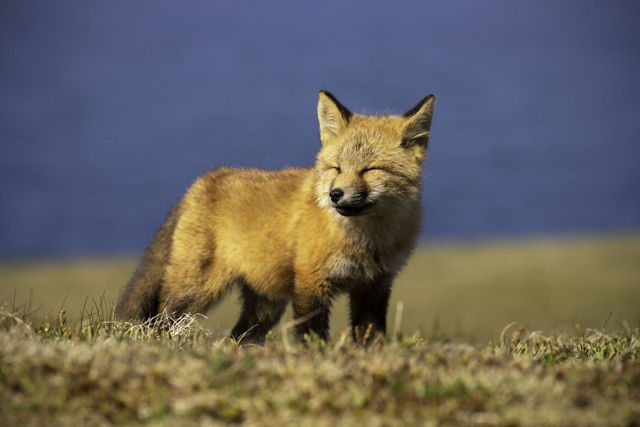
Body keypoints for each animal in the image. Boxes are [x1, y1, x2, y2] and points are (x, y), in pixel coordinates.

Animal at [115, 91, 435, 344]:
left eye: (370, 170)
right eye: (336, 168)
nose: (335, 194)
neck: (366, 242)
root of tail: (205, 180)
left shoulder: (375, 285)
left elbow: (371, 336)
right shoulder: (310, 282)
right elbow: (310, 334)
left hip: (264, 305)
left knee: (239, 337)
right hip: (194, 290)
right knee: (161, 321)